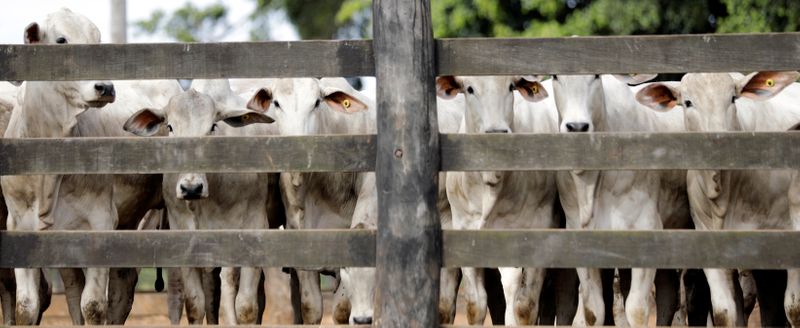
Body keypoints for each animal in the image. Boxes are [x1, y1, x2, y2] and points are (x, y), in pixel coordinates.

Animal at [123, 86, 276, 324]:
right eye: (170, 127)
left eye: (212, 126)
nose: (191, 188)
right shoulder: (184, 239)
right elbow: (195, 305)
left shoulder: (255, 228)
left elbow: (246, 307)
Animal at [434, 76, 560, 326]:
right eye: (469, 88)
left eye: (511, 86)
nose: (497, 132)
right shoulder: (464, 232)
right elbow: (476, 305)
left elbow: (523, 307)